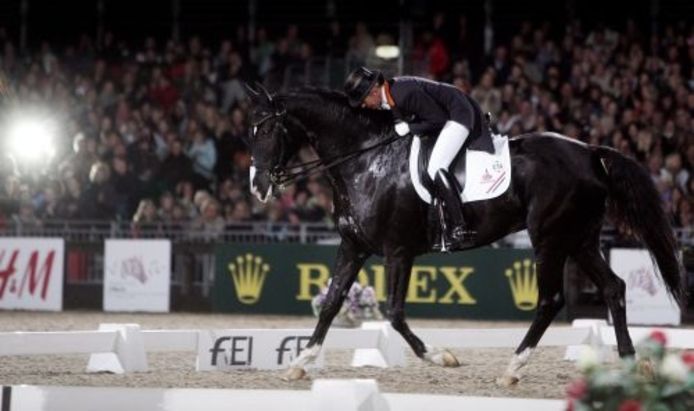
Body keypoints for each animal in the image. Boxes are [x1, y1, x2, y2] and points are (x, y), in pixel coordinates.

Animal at [245, 84, 685, 385]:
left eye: (265, 132)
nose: (257, 187)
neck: (366, 160)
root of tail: (591, 152)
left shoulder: (398, 251)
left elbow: (395, 313)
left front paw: (441, 357)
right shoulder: (354, 247)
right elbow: (332, 302)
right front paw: (300, 362)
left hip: (550, 240)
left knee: (550, 300)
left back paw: (513, 367)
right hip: (580, 240)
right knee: (613, 287)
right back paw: (632, 362)